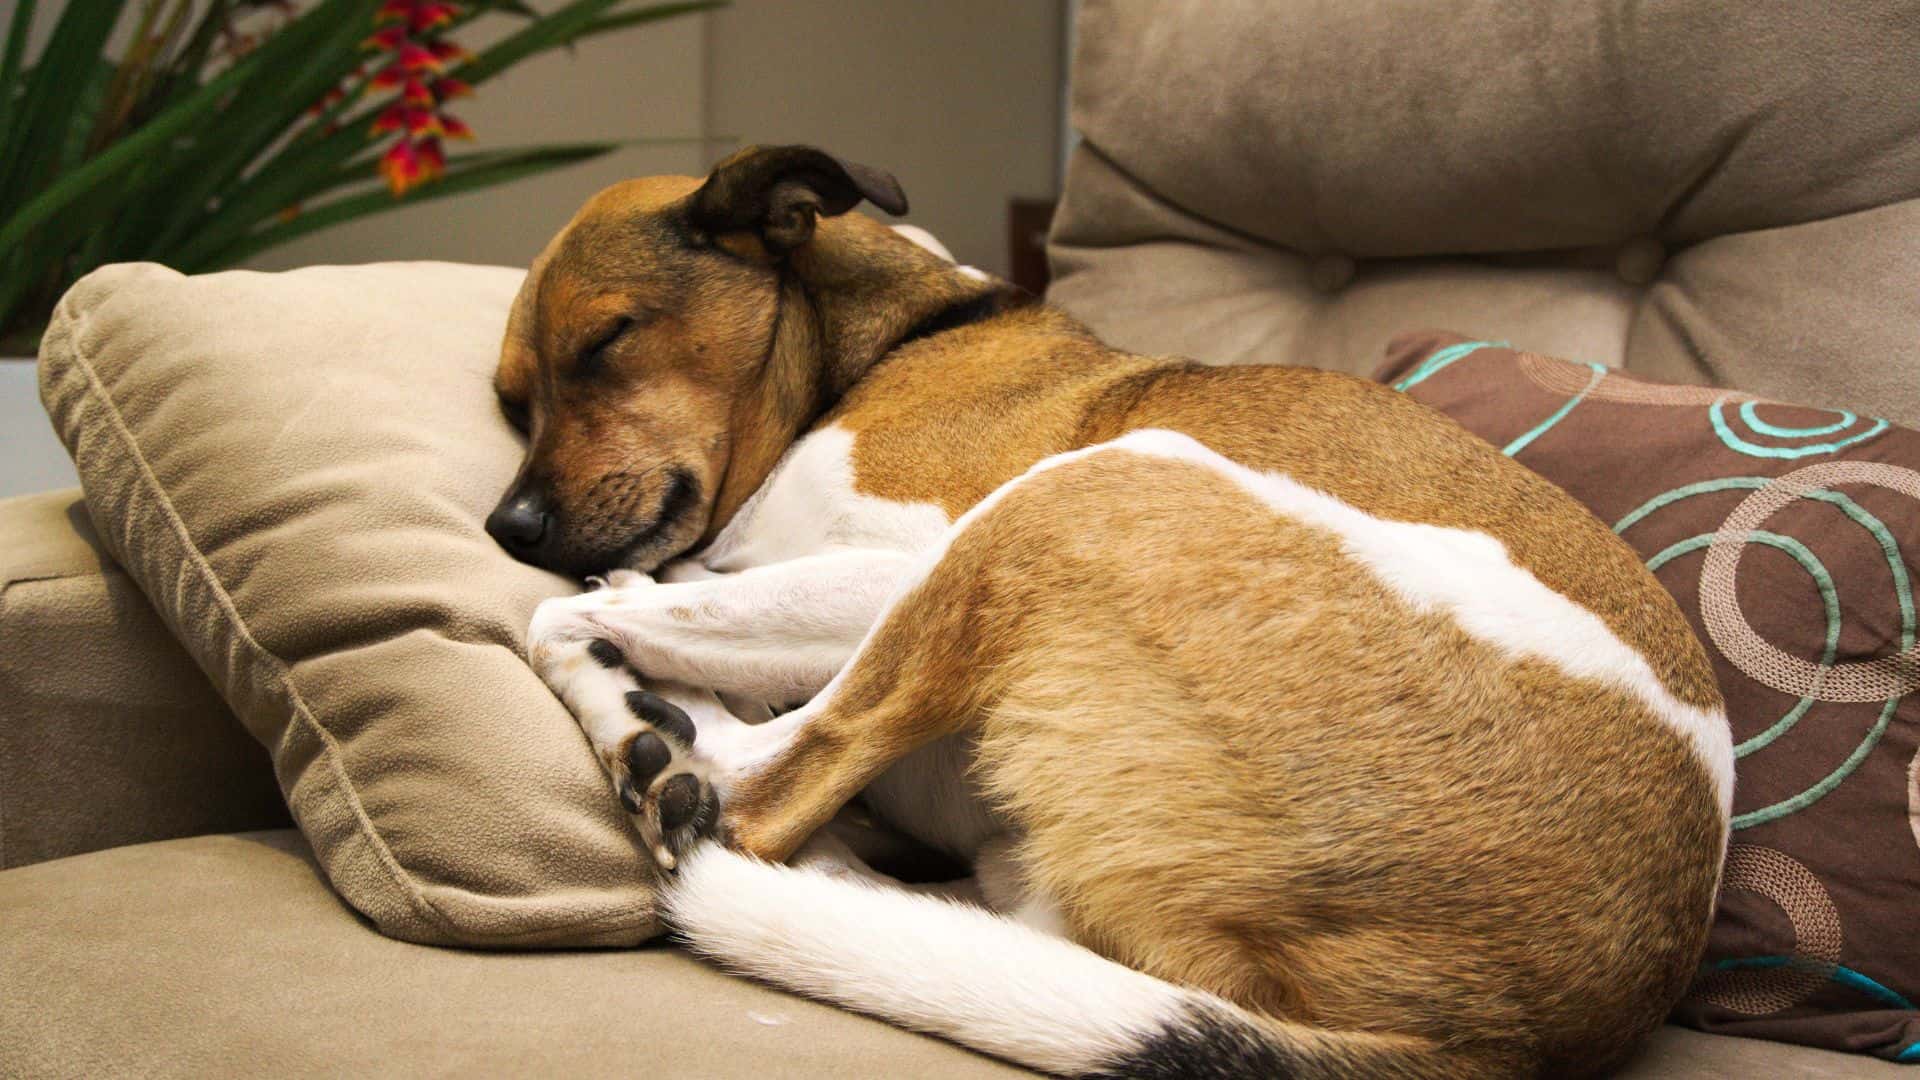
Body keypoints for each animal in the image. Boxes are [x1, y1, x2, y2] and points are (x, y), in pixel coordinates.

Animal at [487, 145, 1735, 1076]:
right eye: (510, 400)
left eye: (607, 341)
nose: (509, 529)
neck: (891, 343)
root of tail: (1515, 1038)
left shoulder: (900, 561)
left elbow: (615, 616)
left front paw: (641, 662)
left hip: (1076, 494)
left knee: (752, 793)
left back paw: (658, 736)